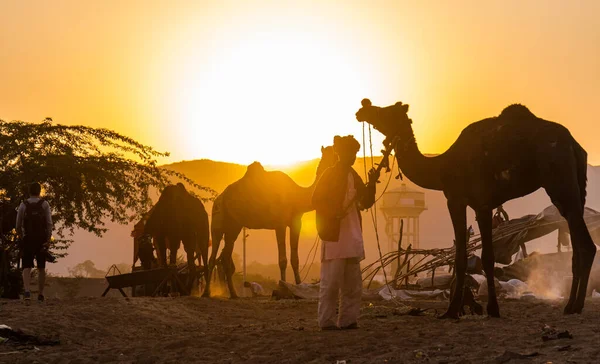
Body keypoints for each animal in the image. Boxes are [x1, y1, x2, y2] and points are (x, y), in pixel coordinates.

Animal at [204, 146, 338, 298]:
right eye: (327, 156)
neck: (297, 197)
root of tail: (219, 198)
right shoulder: (279, 224)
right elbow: (282, 260)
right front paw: (283, 289)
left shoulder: (296, 223)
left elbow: (295, 259)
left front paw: (299, 288)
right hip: (218, 222)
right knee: (213, 255)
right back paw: (206, 293)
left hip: (234, 226)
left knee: (226, 256)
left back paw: (233, 294)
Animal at [356, 98, 596, 318]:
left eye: (386, 111)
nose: (363, 108)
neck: (441, 167)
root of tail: (575, 145)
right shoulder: (477, 203)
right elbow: (473, 257)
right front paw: (472, 308)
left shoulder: (467, 201)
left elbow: (480, 258)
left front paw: (463, 310)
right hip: (572, 188)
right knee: (579, 242)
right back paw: (574, 305)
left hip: (560, 180)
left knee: (584, 242)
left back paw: (573, 305)